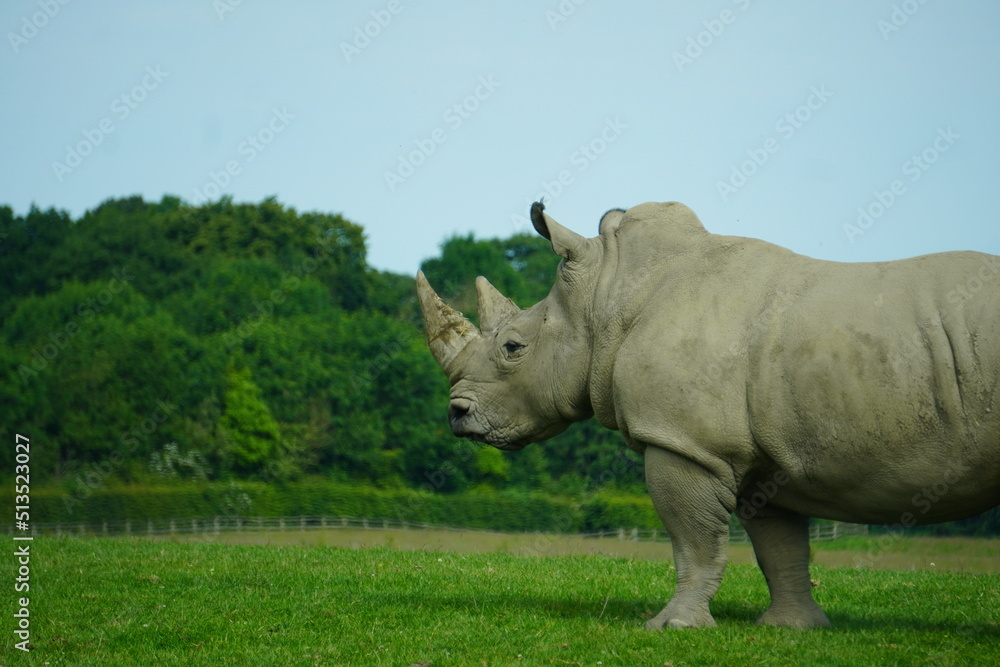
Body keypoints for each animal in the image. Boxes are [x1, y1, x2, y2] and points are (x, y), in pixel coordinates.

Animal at [416, 200, 1000, 629]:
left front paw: (671, 627)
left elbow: (693, 541)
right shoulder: (764, 457)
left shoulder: (684, 441)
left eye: (513, 348)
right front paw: (791, 629)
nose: (457, 414)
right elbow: (781, 548)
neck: (606, 298)